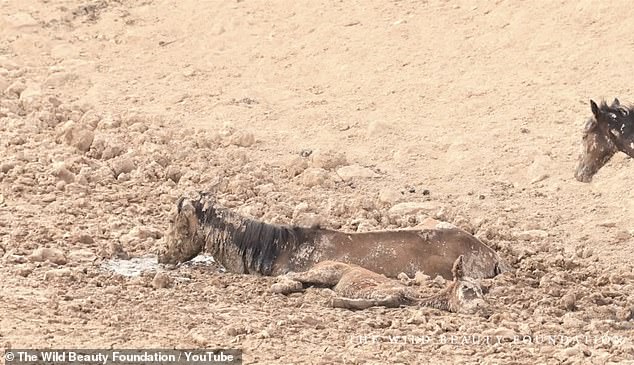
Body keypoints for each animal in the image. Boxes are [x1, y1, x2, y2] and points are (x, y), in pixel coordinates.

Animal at [270, 255, 486, 314]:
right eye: (466, 288)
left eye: (482, 292)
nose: (482, 307)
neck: (414, 298)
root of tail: (321, 261)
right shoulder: (374, 292)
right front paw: (336, 301)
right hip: (325, 273)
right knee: (293, 274)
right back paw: (280, 285)